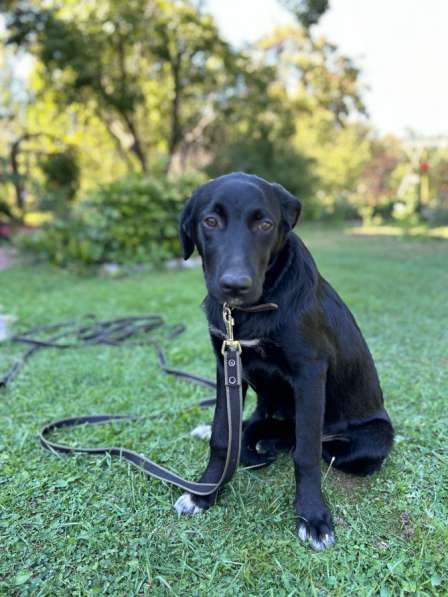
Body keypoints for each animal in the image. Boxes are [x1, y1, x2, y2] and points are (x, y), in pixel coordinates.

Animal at [175, 171, 392, 548]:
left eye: (264, 224)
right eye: (210, 221)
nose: (235, 285)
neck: (251, 310)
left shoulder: (310, 373)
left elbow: (305, 453)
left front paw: (314, 517)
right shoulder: (226, 366)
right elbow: (222, 436)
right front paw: (206, 492)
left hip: (372, 441)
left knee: (315, 444)